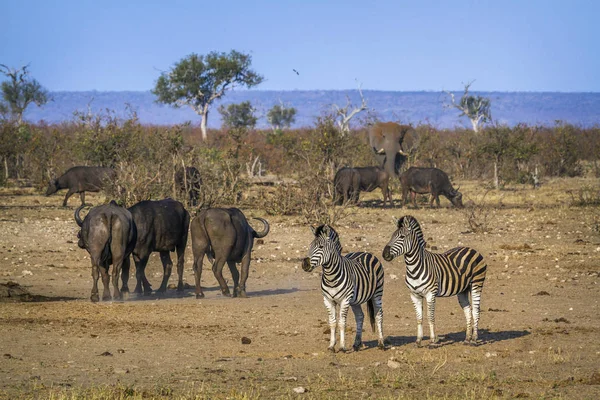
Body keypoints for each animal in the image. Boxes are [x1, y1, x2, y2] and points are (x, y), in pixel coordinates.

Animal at [300, 225, 384, 354]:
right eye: (310, 246)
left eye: (321, 247)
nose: (305, 264)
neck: (331, 277)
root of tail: (365, 253)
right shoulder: (328, 300)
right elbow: (332, 323)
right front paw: (331, 346)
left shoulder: (345, 300)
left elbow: (342, 323)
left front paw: (342, 347)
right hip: (355, 301)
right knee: (360, 316)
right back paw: (356, 344)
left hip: (377, 293)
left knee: (379, 315)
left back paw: (381, 343)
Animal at [384, 216, 488, 346]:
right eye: (391, 236)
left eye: (402, 237)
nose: (384, 254)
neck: (414, 267)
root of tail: (472, 249)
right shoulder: (414, 295)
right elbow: (419, 318)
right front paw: (418, 341)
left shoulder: (430, 294)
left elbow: (430, 317)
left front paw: (433, 341)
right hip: (463, 289)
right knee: (468, 310)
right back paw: (467, 339)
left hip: (476, 284)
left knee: (476, 311)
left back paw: (474, 339)